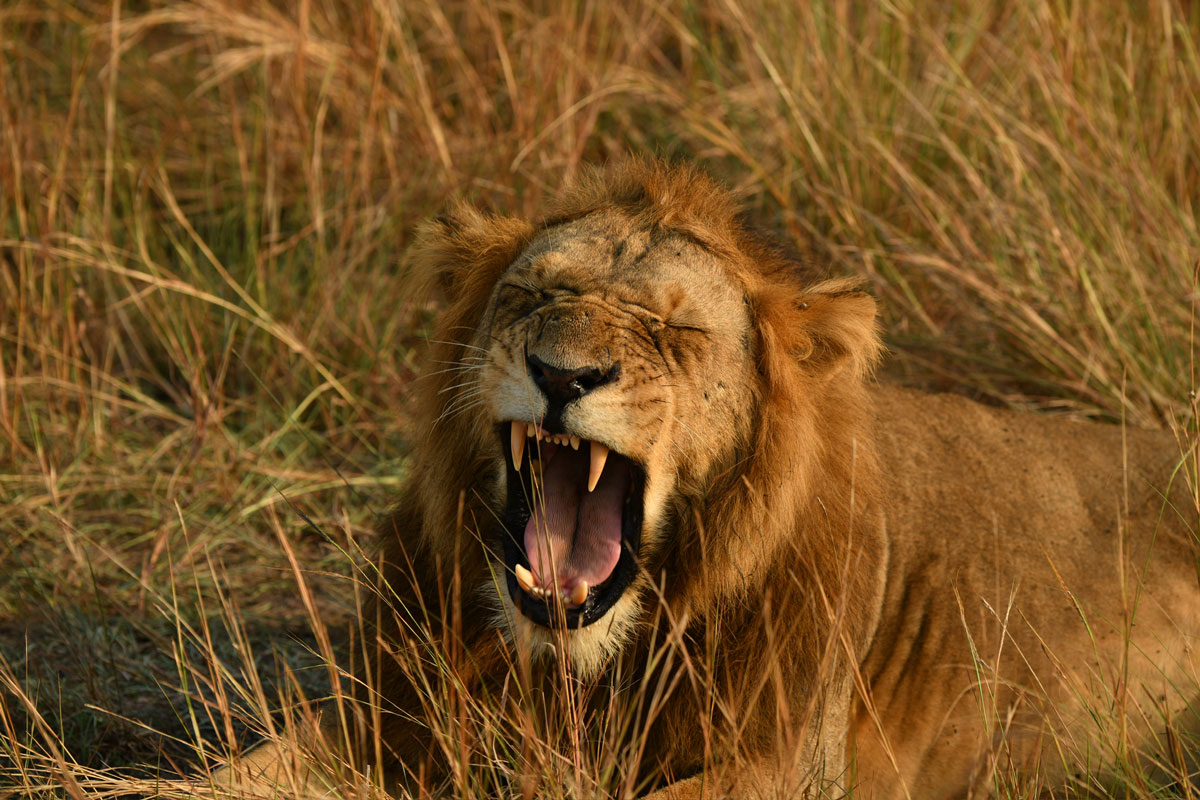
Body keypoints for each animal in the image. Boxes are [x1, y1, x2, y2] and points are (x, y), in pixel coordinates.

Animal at [216, 160, 1199, 799]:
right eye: (534, 296)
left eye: (674, 333)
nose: (562, 375)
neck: (580, 666)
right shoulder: (387, 714)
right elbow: (239, 772)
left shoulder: (787, 762)